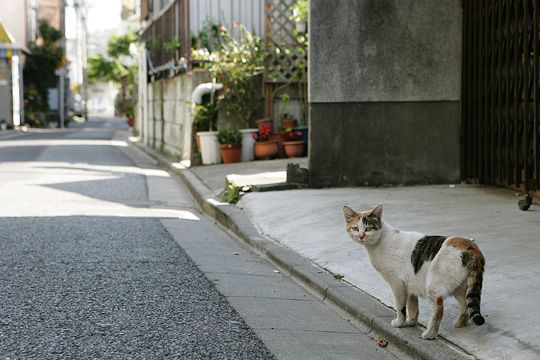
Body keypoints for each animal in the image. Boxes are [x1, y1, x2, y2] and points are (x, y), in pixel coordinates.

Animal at [342, 204, 486, 338]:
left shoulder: (397, 283)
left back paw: (429, 334)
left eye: (369, 228)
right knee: (466, 306)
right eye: (355, 228)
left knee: (439, 309)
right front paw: (411, 322)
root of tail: (471, 247)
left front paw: (399, 323)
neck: (379, 242)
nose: (361, 236)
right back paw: (459, 323)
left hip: (434, 286)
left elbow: (400, 306)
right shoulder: (410, 283)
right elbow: (412, 306)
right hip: (460, 287)